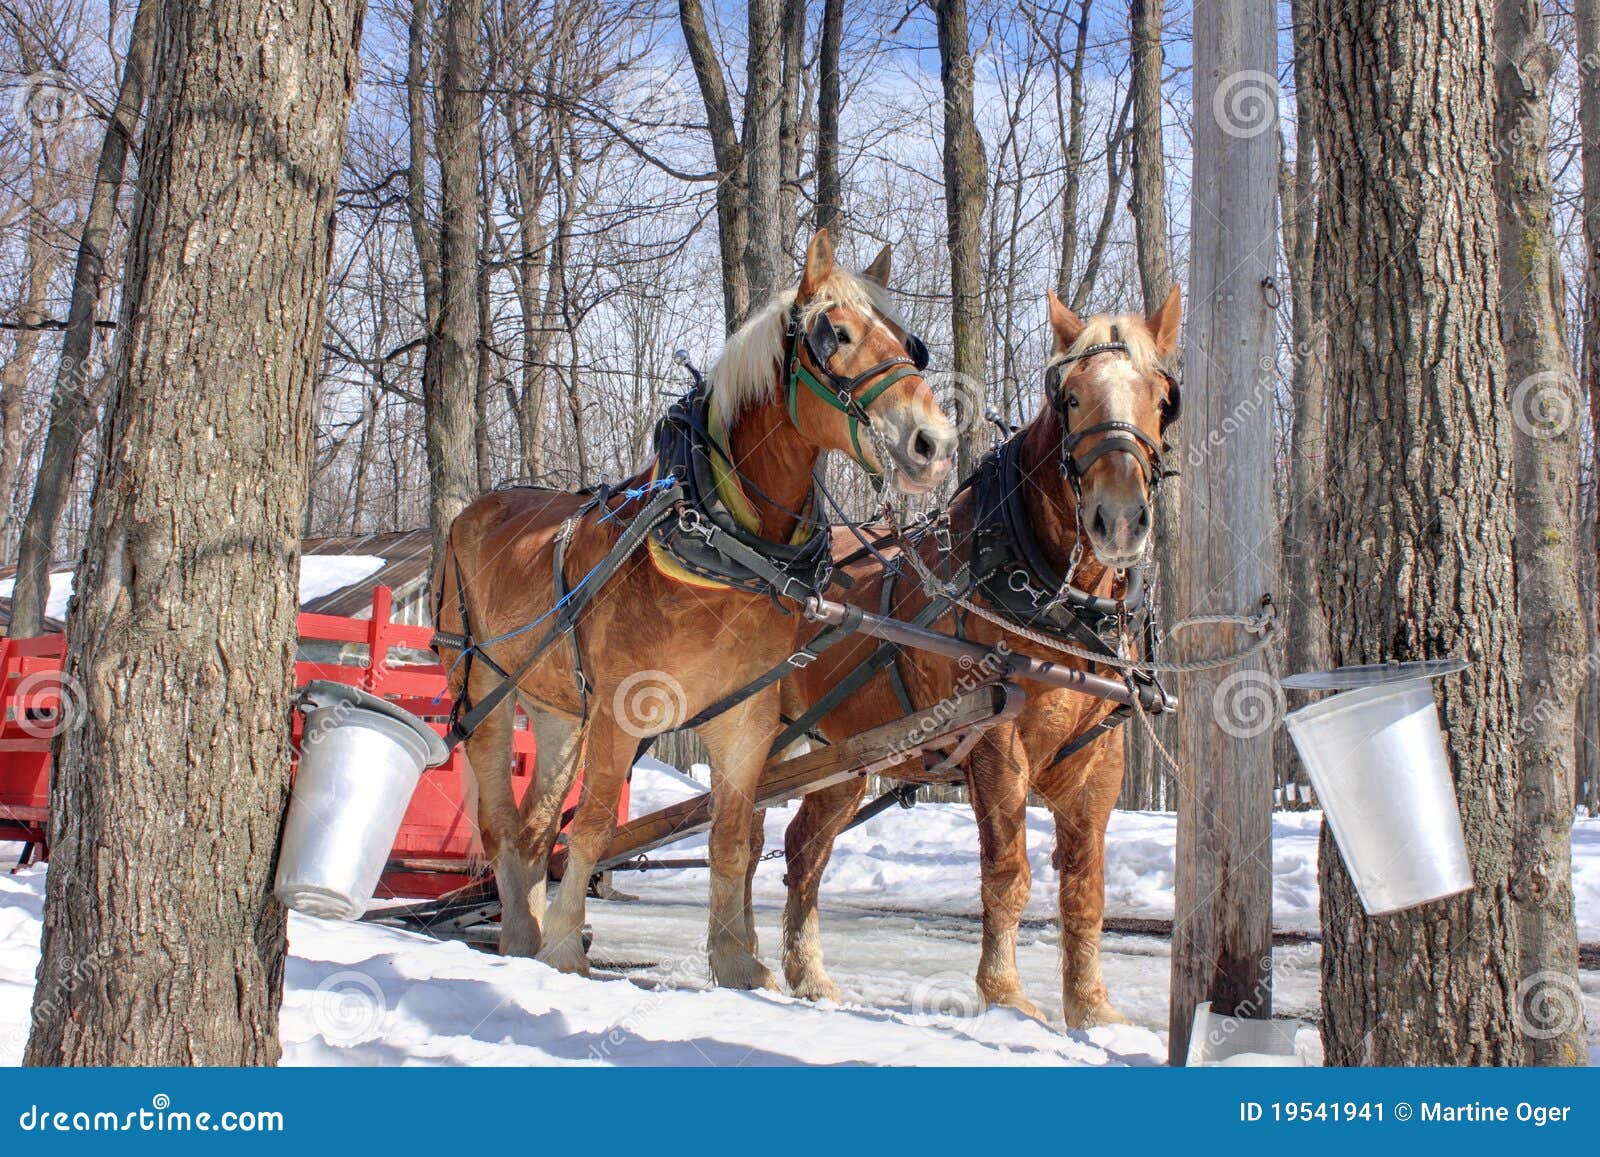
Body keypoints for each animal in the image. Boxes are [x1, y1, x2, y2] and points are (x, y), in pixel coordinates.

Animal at [433, 229, 958, 990]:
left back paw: (524, 931)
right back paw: (526, 933)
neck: (721, 545)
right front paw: (565, 949)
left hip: (561, 711)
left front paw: (737, 960)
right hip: (482, 688)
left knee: (534, 827)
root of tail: (474, 510)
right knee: (504, 819)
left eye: (908, 340)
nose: (934, 443)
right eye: (834, 333)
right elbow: (594, 826)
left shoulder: (746, 723)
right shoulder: (622, 711)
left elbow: (732, 837)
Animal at [774, 288, 1180, 1025]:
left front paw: (1093, 1011)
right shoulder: (995, 742)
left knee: (804, 849)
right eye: (1071, 397)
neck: (1057, 603)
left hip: (840, 754)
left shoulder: (1101, 757)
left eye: (1163, 400)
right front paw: (1007, 996)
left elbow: (1086, 888)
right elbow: (1008, 873)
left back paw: (806, 973)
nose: (1119, 519)